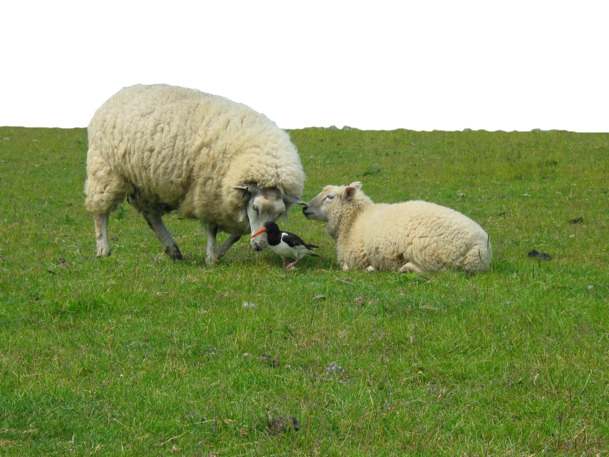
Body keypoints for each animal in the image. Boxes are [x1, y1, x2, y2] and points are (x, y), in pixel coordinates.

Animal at [82, 83, 304, 264]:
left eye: (279, 213)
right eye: (256, 208)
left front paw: (219, 252)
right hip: (106, 169)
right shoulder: (210, 196)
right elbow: (214, 230)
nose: (260, 247)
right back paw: (103, 248)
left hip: (148, 183)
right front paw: (211, 258)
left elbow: (238, 233)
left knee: (151, 216)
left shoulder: (229, 202)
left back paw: (173, 249)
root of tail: (119, 93)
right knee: (100, 212)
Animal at [302, 182, 492, 274]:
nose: (305, 208)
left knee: (439, 270)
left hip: (428, 251)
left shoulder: (354, 259)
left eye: (330, 197)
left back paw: (404, 269)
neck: (354, 219)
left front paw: (371, 268)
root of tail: (479, 244)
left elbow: (347, 267)